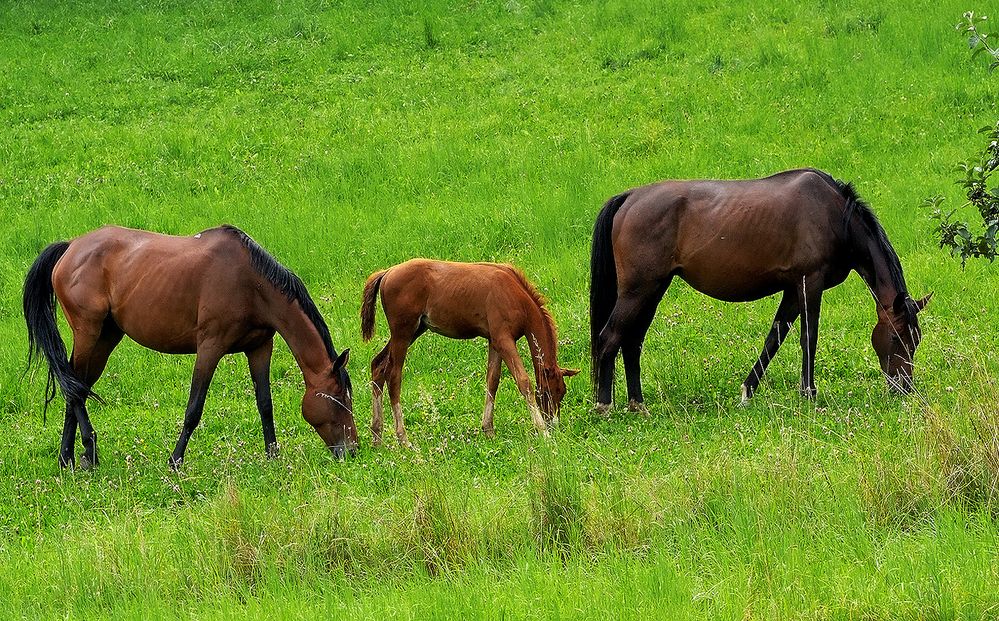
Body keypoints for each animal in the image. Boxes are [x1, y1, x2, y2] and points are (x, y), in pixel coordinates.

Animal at [20, 225, 360, 468]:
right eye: (339, 399)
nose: (353, 450)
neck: (251, 284)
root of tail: (71, 247)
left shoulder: (260, 347)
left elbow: (265, 404)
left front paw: (272, 456)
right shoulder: (210, 348)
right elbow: (194, 408)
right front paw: (175, 461)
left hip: (106, 338)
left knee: (76, 385)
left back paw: (67, 458)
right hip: (88, 333)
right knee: (75, 388)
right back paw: (89, 452)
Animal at [360, 258, 580, 446]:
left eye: (562, 393)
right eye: (548, 392)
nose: (553, 426)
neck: (515, 295)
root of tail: (387, 272)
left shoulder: (494, 341)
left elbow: (493, 380)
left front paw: (488, 430)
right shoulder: (504, 339)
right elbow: (523, 381)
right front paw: (543, 433)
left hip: (413, 331)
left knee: (378, 366)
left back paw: (377, 437)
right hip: (403, 333)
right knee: (394, 377)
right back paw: (403, 439)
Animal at [588, 170, 932, 412]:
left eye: (916, 340)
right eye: (899, 338)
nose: (904, 389)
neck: (834, 215)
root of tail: (630, 197)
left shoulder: (792, 290)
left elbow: (774, 339)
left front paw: (747, 391)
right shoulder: (810, 284)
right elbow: (808, 339)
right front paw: (808, 393)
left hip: (653, 289)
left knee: (632, 343)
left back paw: (637, 404)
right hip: (638, 291)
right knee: (609, 338)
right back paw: (604, 405)